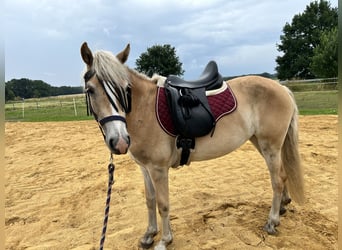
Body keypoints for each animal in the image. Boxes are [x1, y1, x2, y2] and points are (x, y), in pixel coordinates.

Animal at [80, 42, 304, 249]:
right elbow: (150, 200)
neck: (145, 110)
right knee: (283, 175)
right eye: (90, 90)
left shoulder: (158, 169)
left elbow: (163, 204)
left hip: (270, 146)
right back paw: (282, 208)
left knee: (277, 180)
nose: (119, 141)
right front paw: (149, 235)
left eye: (126, 89)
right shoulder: (145, 168)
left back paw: (272, 221)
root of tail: (281, 87)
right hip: (262, 143)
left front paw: (164, 240)